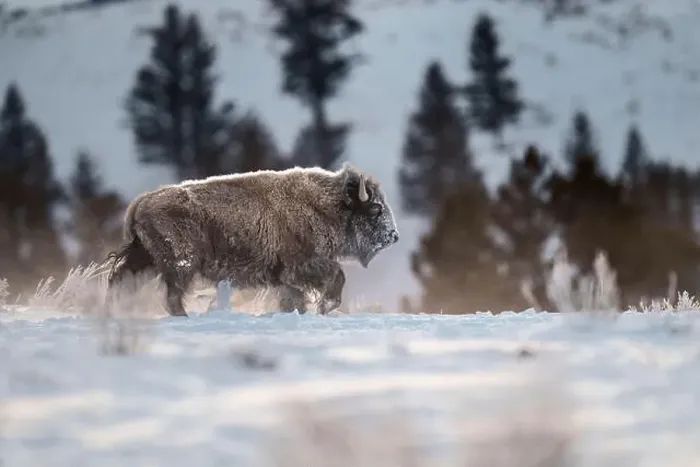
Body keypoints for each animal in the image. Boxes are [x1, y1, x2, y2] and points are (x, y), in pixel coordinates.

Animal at [106, 163, 399, 317]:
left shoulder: (287, 277)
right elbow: (337, 277)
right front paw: (325, 307)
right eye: (375, 209)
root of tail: (141, 203)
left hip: (146, 259)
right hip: (181, 265)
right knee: (172, 295)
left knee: (121, 281)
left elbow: (294, 298)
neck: (326, 204)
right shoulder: (305, 266)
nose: (393, 236)